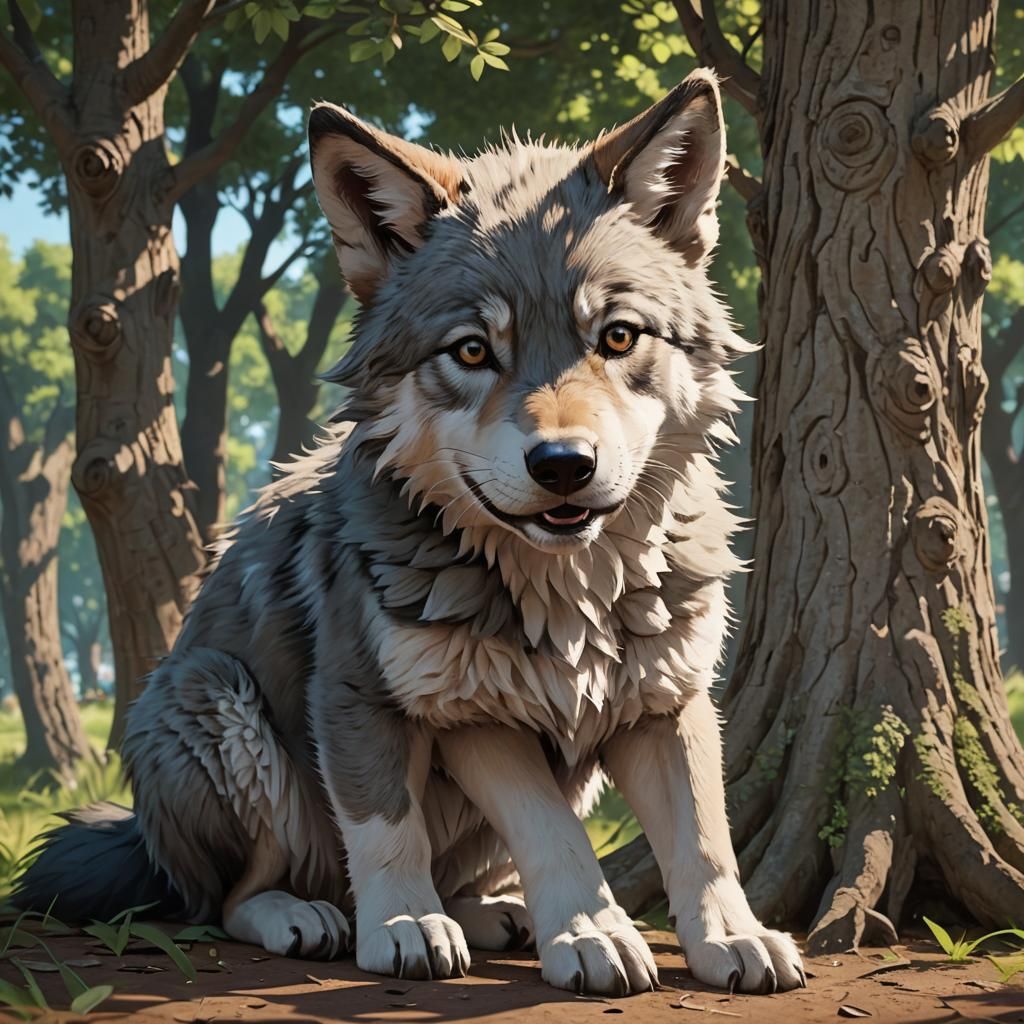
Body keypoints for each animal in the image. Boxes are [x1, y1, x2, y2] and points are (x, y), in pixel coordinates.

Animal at [16, 70, 804, 997]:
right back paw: (313, 917)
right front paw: (445, 928)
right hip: (216, 697)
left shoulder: (666, 699)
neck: (569, 595)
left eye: (617, 336)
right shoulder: (410, 705)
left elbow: (705, 842)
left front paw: (732, 937)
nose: (564, 465)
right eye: (471, 352)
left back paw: (492, 913)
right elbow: (441, 832)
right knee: (228, 899)